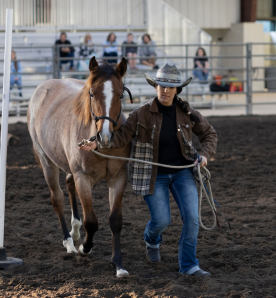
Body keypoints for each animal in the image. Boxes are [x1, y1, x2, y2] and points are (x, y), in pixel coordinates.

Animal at [27, 56, 132, 278]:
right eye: (92, 93)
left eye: (120, 95)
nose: (105, 136)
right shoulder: (82, 177)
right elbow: (91, 221)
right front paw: (85, 247)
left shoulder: (119, 178)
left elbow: (115, 220)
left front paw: (118, 264)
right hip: (47, 162)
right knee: (57, 198)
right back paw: (69, 242)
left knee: (68, 184)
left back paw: (75, 231)